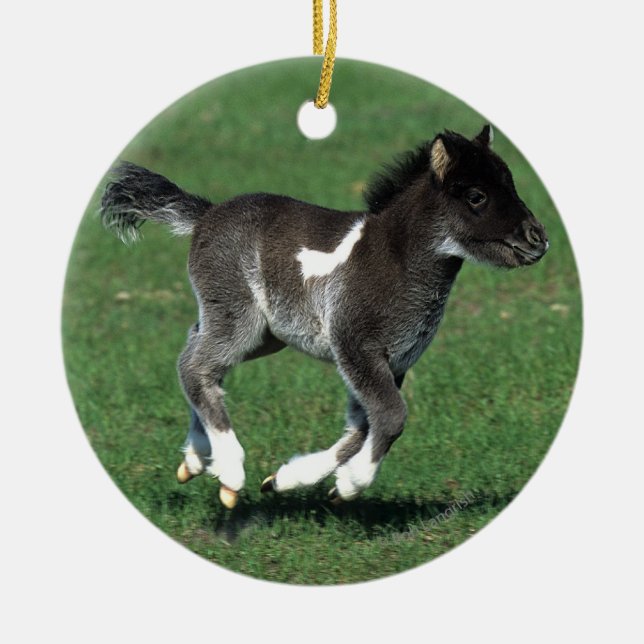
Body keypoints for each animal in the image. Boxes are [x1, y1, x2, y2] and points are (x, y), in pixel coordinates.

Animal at [101, 124, 548, 509]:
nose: (538, 239)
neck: (396, 260)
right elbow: (391, 416)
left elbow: (363, 426)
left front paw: (286, 480)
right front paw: (350, 485)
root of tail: (206, 215)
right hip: (239, 317)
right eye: (476, 196)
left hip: (263, 333)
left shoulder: (393, 360)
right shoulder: (355, 345)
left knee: (196, 353)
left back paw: (195, 459)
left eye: (510, 183)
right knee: (195, 367)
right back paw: (229, 472)